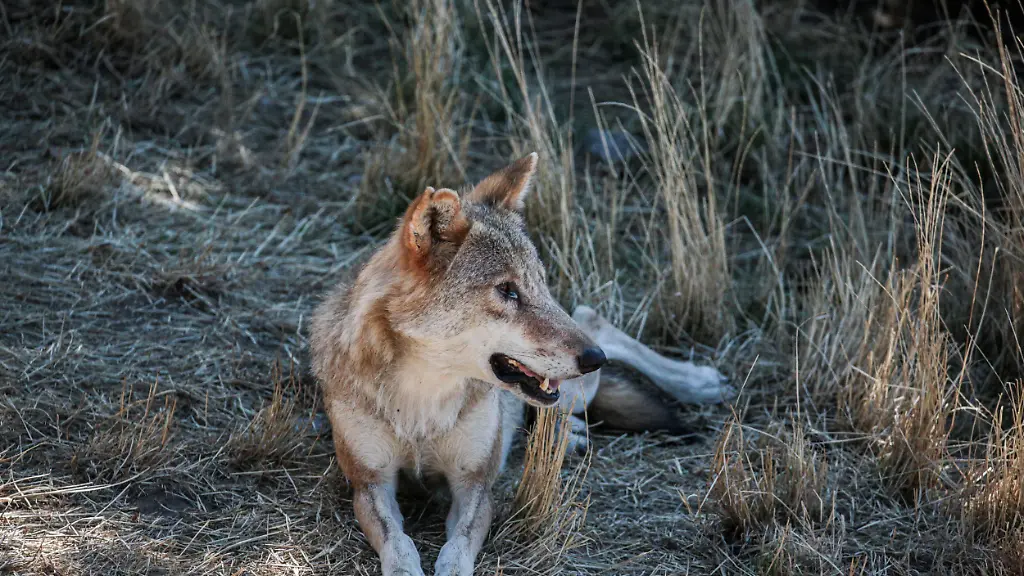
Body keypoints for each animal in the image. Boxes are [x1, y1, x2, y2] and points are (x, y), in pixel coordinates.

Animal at [309, 153, 733, 576]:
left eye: (539, 283)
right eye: (506, 291)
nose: (593, 359)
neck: (421, 402)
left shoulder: (475, 485)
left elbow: (456, 551)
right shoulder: (369, 484)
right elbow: (399, 545)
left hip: (575, 381)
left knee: (593, 320)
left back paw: (700, 382)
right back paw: (572, 433)